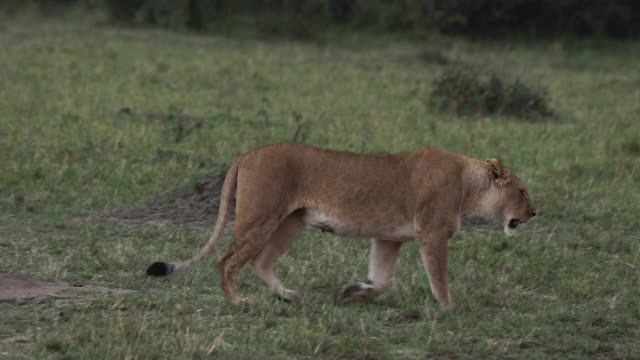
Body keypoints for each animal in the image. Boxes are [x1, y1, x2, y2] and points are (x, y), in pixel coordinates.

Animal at [146, 143, 536, 310]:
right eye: (522, 191)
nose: (534, 213)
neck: (468, 185)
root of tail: (247, 154)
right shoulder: (432, 233)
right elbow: (438, 276)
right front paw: (451, 308)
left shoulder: (388, 239)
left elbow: (382, 279)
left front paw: (354, 293)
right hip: (259, 217)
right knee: (226, 260)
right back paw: (238, 301)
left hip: (290, 222)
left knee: (260, 261)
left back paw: (286, 296)